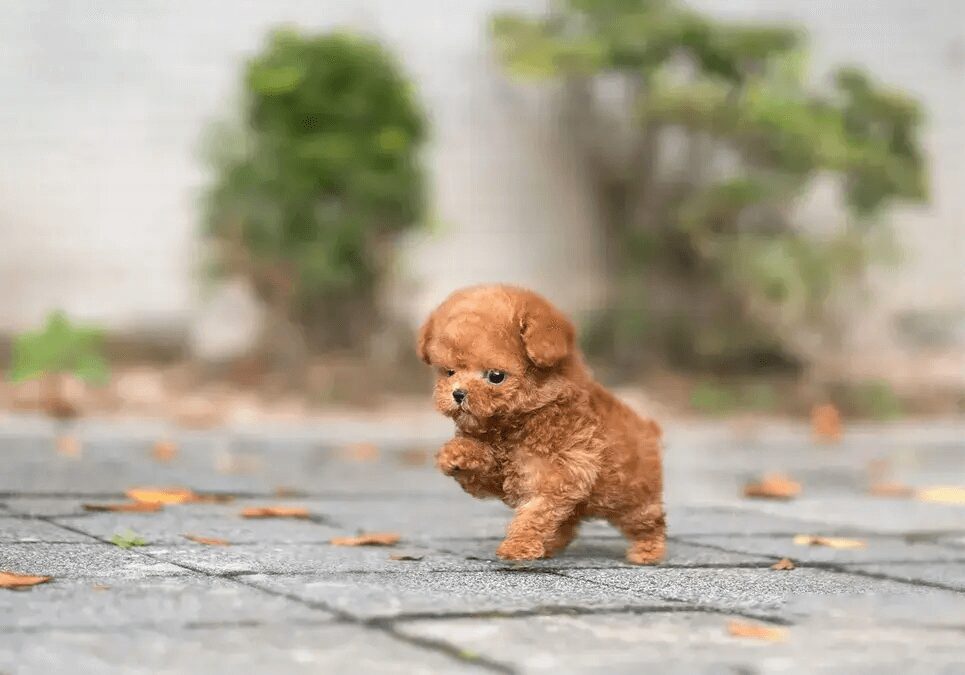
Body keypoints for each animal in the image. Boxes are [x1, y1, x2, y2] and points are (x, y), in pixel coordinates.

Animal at [418, 286, 668, 564]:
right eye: (449, 372)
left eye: (496, 376)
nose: (458, 394)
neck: (519, 421)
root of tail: (648, 427)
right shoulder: (504, 476)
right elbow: (485, 466)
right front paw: (456, 454)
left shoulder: (559, 475)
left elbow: (535, 513)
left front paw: (517, 546)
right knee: (568, 523)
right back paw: (550, 546)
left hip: (630, 496)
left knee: (648, 521)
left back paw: (647, 551)